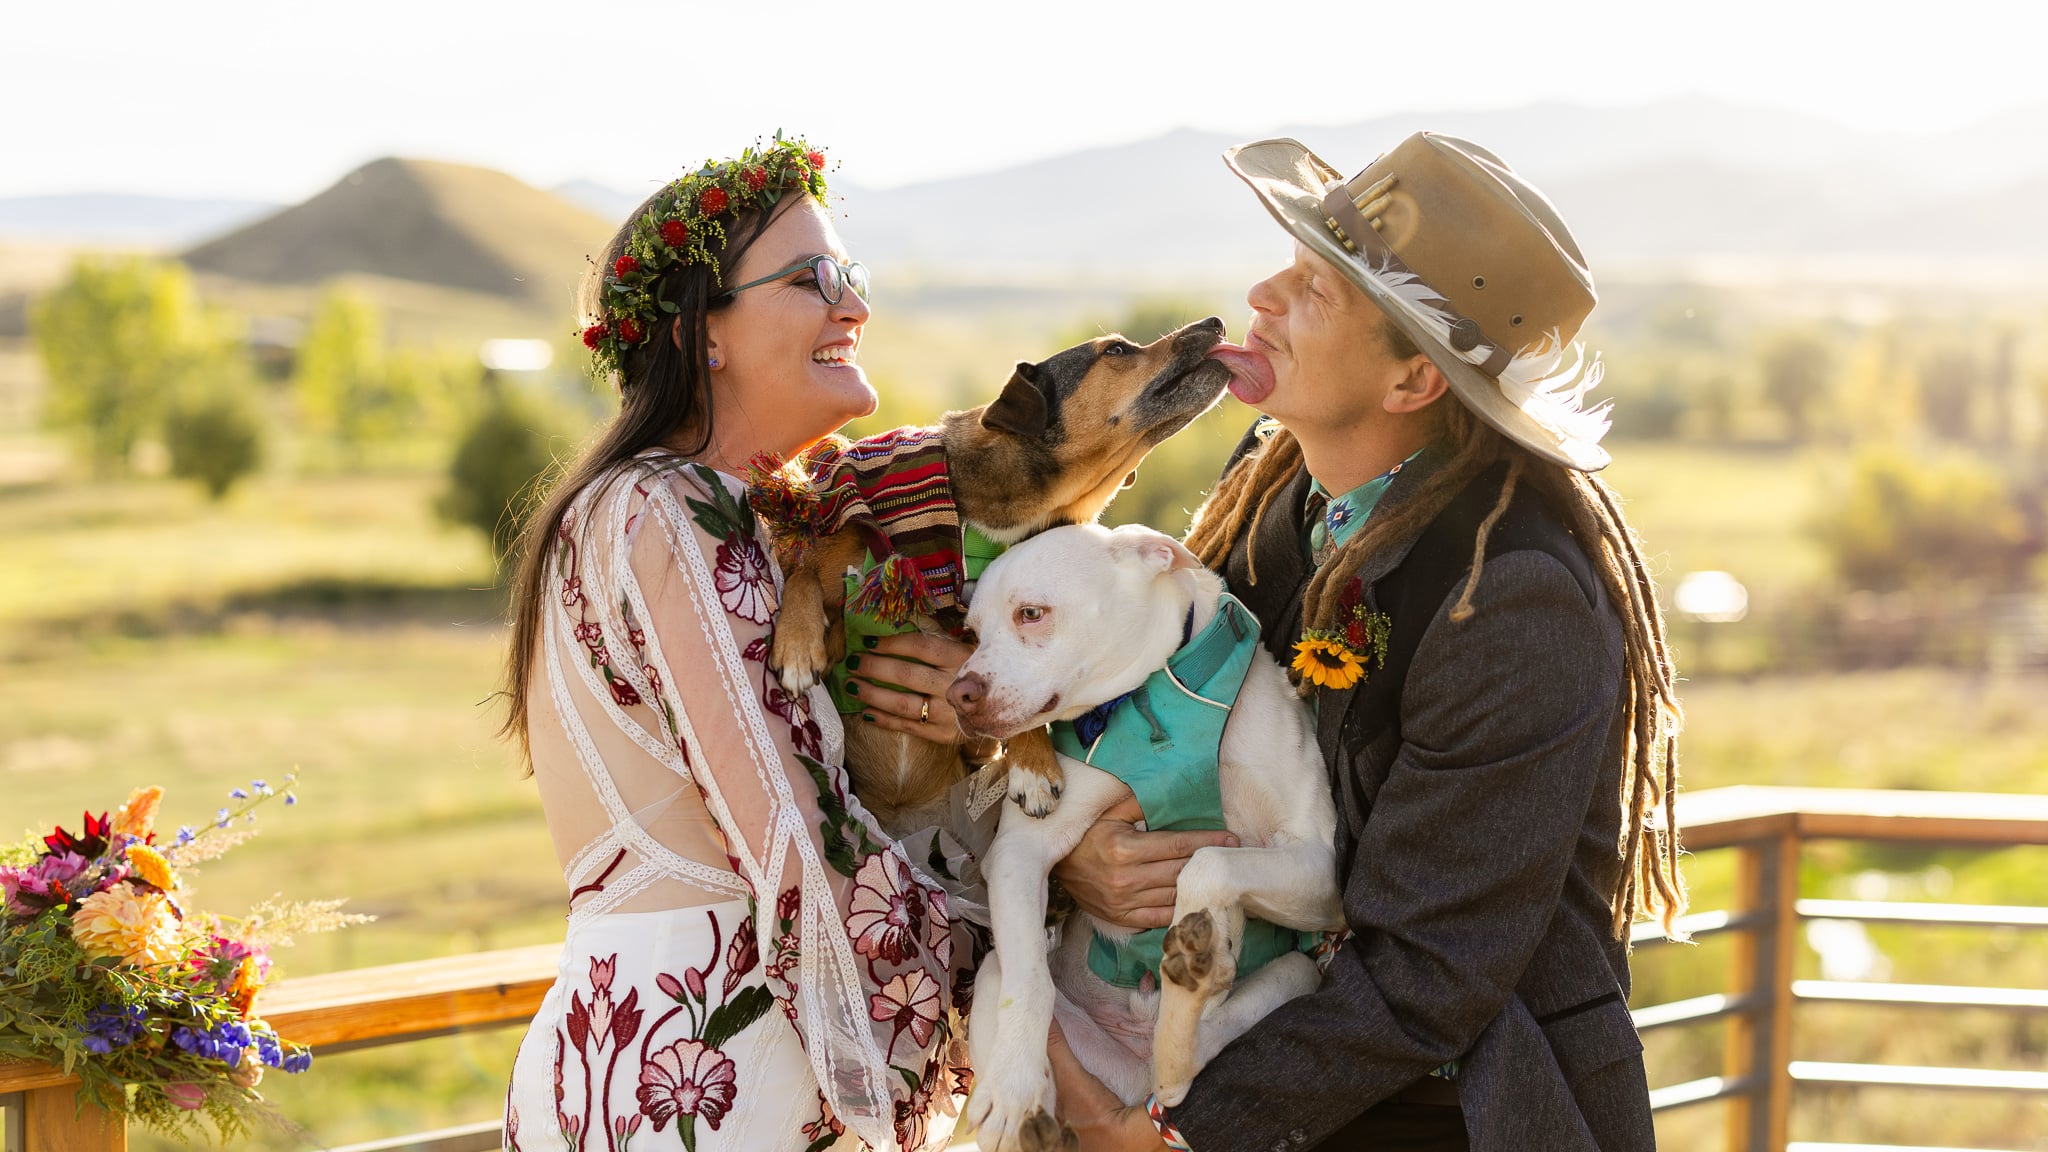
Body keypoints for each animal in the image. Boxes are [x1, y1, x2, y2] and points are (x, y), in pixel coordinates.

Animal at [942, 522, 1343, 1147]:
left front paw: (1215, 925)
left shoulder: (1320, 864)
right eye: (974, 633)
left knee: (1180, 1071)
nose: (957, 694)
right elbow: (1029, 983)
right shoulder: (1017, 854)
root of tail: (1131, 1060)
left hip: (1299, 973)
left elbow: (1210, 860)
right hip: (994, 972)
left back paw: (1199, 978)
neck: (1162, 703)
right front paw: (1012, 1088)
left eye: (1031, 613)